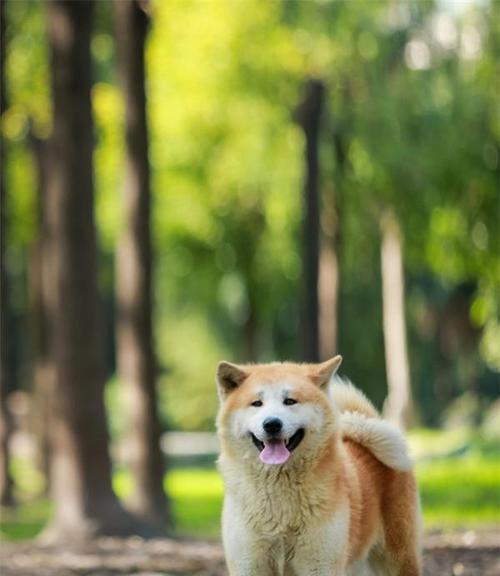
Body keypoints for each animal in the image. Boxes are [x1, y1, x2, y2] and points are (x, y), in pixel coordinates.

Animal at [215, 356, 422, 576]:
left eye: (290, 401)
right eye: (256, 403)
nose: (271, 424)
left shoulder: (320, 565)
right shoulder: (249, 565)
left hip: (397, 559)